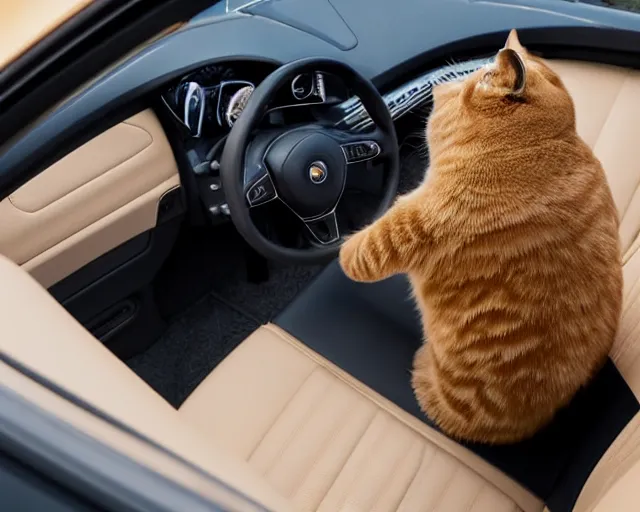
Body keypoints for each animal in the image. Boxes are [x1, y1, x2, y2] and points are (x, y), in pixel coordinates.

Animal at [342, 30, 624, 444]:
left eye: (478, 75)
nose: (444, 83)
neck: (540, 141)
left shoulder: (413, 218)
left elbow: (362, 252)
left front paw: (340, 247)